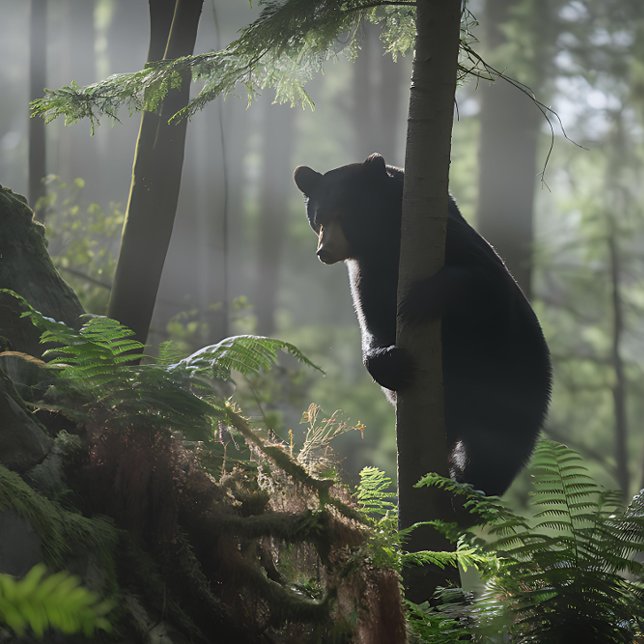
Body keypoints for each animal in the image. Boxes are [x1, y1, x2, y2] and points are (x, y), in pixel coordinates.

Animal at [293, 153, 552, 496]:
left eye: (345, 213)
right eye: (318, 218)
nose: (325, 251)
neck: (386, 240)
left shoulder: (452, 242)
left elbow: (485, 280)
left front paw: (419, 300)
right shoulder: (366, 272)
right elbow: (373, 323)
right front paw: (389, 361)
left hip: (516, 378)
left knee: (496, 446)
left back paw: (467, 484)